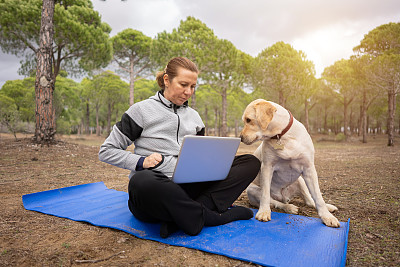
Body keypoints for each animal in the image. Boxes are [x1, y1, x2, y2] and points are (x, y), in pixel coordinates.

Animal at [241, 99, 340, 229]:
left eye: (248, 120)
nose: (241, 138)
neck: (283, 136)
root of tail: (284, 197)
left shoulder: (309, 169)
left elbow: (318, 197)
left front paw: (327, 216)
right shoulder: (267, 167)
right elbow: (265, 195)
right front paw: (263, 212)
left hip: (301, 181)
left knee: (309, 201)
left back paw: (328, 207)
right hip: (252, 190)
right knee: (276, 202)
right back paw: (289, 207)